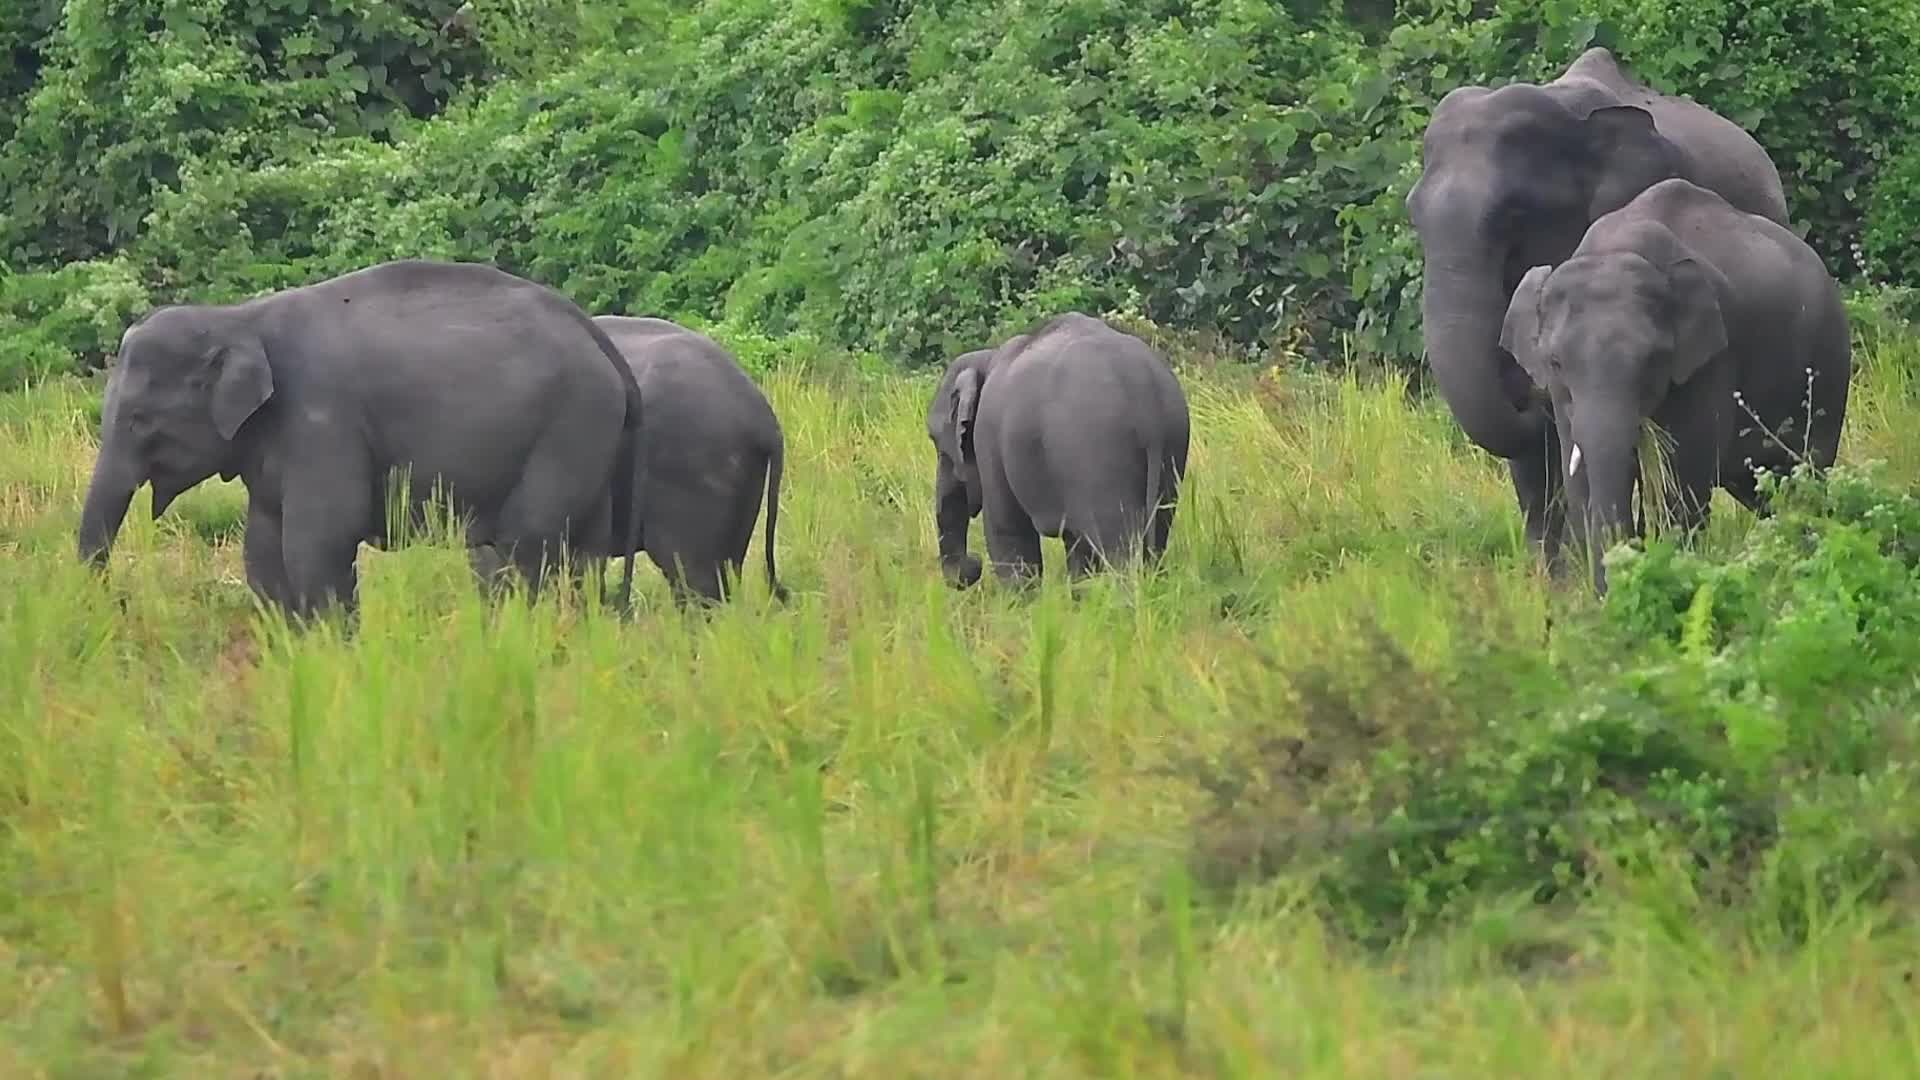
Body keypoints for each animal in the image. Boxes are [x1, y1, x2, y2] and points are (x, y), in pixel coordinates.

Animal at [76, 259, 646, 620]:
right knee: (585, 552)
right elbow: (263, 543)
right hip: (592, 440)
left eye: (140, 420)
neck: (238, 316)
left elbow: (320, 537)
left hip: (568, 427)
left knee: (523, 547)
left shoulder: (322, 419)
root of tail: (601, 342)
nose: (116, 602)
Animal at [927, 312, 1190, 587]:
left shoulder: (988, 439)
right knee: (1156, 537)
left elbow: (1007, 531)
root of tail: (1143, 390)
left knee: (1118, 548)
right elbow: (1077, 549)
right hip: (1171, 443)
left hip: (1099, 453)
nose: (974, 564)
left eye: (935, 439)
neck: (987, 358)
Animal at [1499, 177, 1852, 593]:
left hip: (1829, 363)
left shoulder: (1711, 359)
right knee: (1763, 490)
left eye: (1653, 362)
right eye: (1555, 363)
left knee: (1805, 476)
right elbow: (1582, 480)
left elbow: (1679, 485)